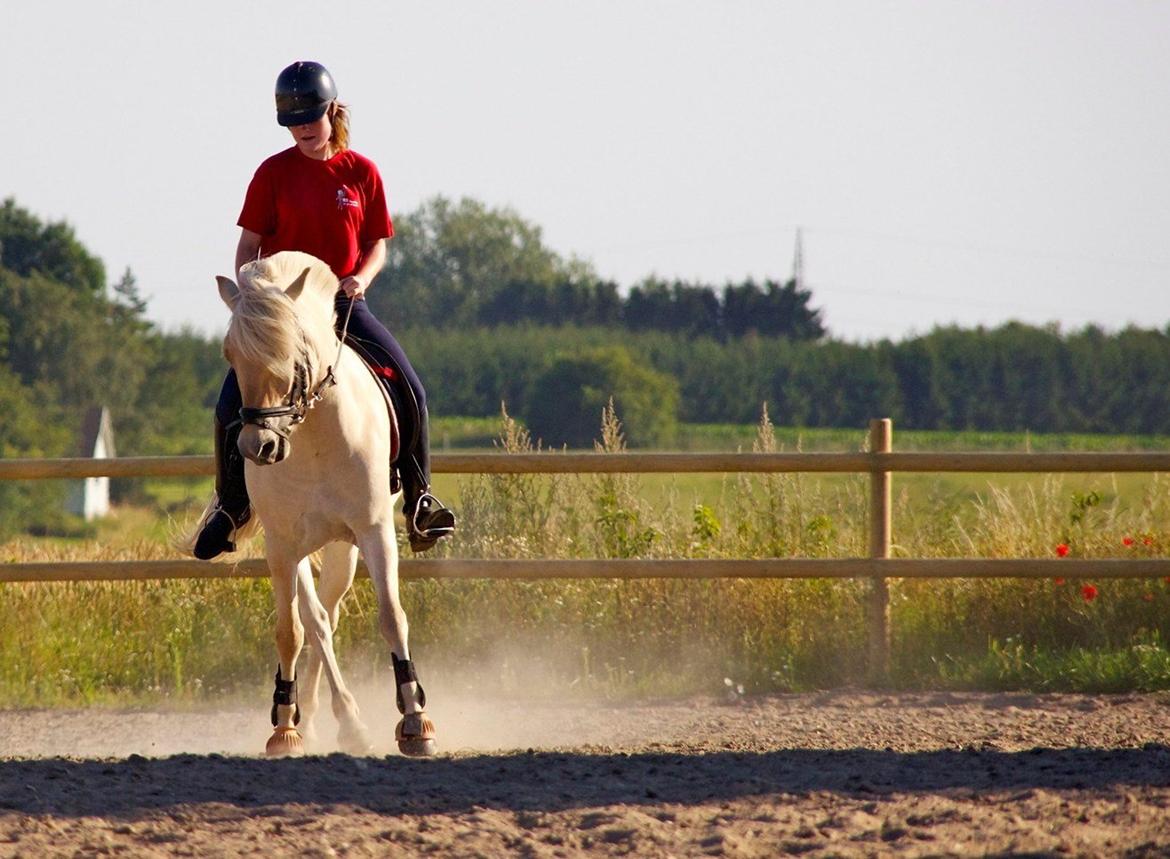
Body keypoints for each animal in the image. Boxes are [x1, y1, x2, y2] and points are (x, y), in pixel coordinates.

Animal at [194, 249, 437, 758]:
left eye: (292, 355)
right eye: (231, 356)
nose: (259, 447)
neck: (315, 436)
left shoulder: (374, 531)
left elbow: (392, 616)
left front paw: (415, 720)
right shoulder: (282, 545)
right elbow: (293, 630)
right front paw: (286, 726)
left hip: (345, 546)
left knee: (332, 610)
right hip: (305, 546)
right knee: (318, 619)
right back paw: (325, 719)